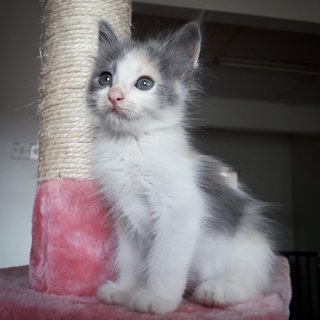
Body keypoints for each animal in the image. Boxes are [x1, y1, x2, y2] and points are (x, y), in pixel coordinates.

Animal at [87, 21, 276, 314]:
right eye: (105, 78)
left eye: (144, 83)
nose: (114, 97)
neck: (129, 144)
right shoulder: (126, 218)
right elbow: (130, 261)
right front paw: (125, 290)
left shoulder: (179, 212)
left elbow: (165, 262)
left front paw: (157, 300)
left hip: (247, 249)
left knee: (251, 284)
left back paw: (216, 292)